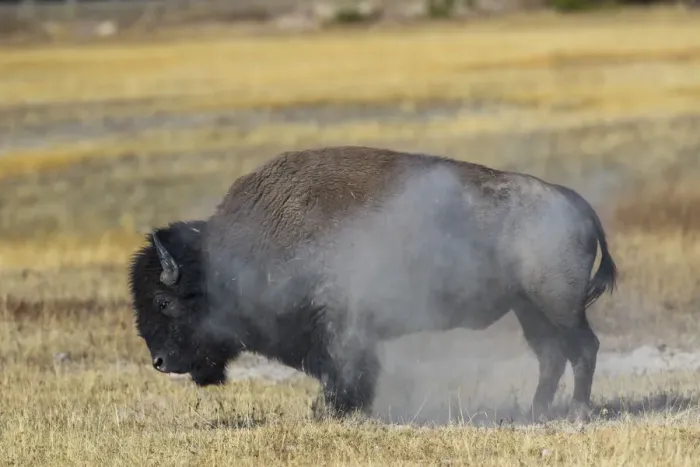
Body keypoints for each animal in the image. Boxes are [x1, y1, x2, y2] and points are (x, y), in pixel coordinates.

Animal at [128, 145, 617, 423]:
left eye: (164, 301)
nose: (160, 362)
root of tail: (572, 202)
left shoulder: (342, 328)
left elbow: (347, 371)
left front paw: (329, 411)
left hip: (559, 306)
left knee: (583, 349)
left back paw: (577, 413)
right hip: (529, 308)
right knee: (551, 356)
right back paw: (537, 413)